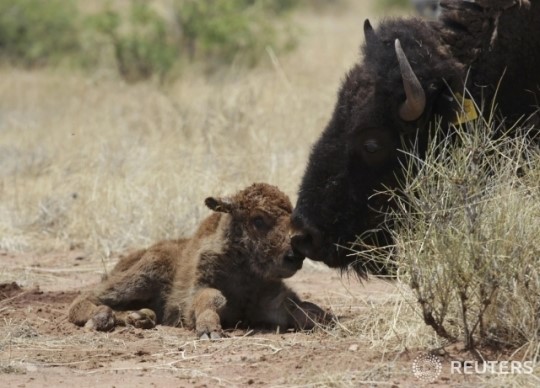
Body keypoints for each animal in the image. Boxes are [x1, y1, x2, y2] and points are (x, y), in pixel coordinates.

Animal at [67, 183, 330, 338]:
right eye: (258, 219)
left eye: (290, 216)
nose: (295, 254)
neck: (246, 277)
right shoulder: (196, 292)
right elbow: (211, 298)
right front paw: (209, 330)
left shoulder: (272, 302)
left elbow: (304, 310)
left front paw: (326, 320)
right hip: (141, 277)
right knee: (88, 297)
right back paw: (101, 317)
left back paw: (140, 318)